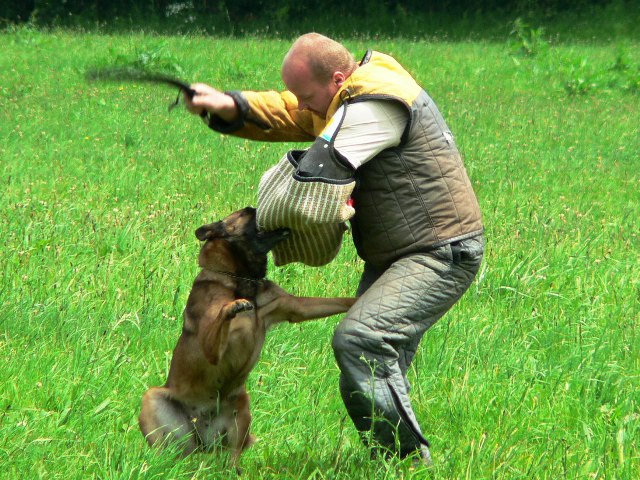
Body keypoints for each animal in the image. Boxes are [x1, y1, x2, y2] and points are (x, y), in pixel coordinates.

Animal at [139, 207, 356, 468]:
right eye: (245, 213)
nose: (256, 207)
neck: (241, 278)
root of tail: (201, 433)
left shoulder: (293, 307)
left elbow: (339, 301)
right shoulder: (211, 347)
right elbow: (221, 318)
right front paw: (233, 306)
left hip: (240, 410)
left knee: (232, 454)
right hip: (153, 401)